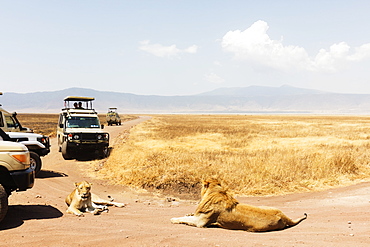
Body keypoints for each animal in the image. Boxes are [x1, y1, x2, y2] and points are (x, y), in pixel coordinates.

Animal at [171, 178, 306, 232]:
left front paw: (173, 219)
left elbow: (186, 219)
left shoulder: (201, 222)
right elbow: (189, 215)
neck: (215, 192)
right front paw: (187, 213)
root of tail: (282, 215)